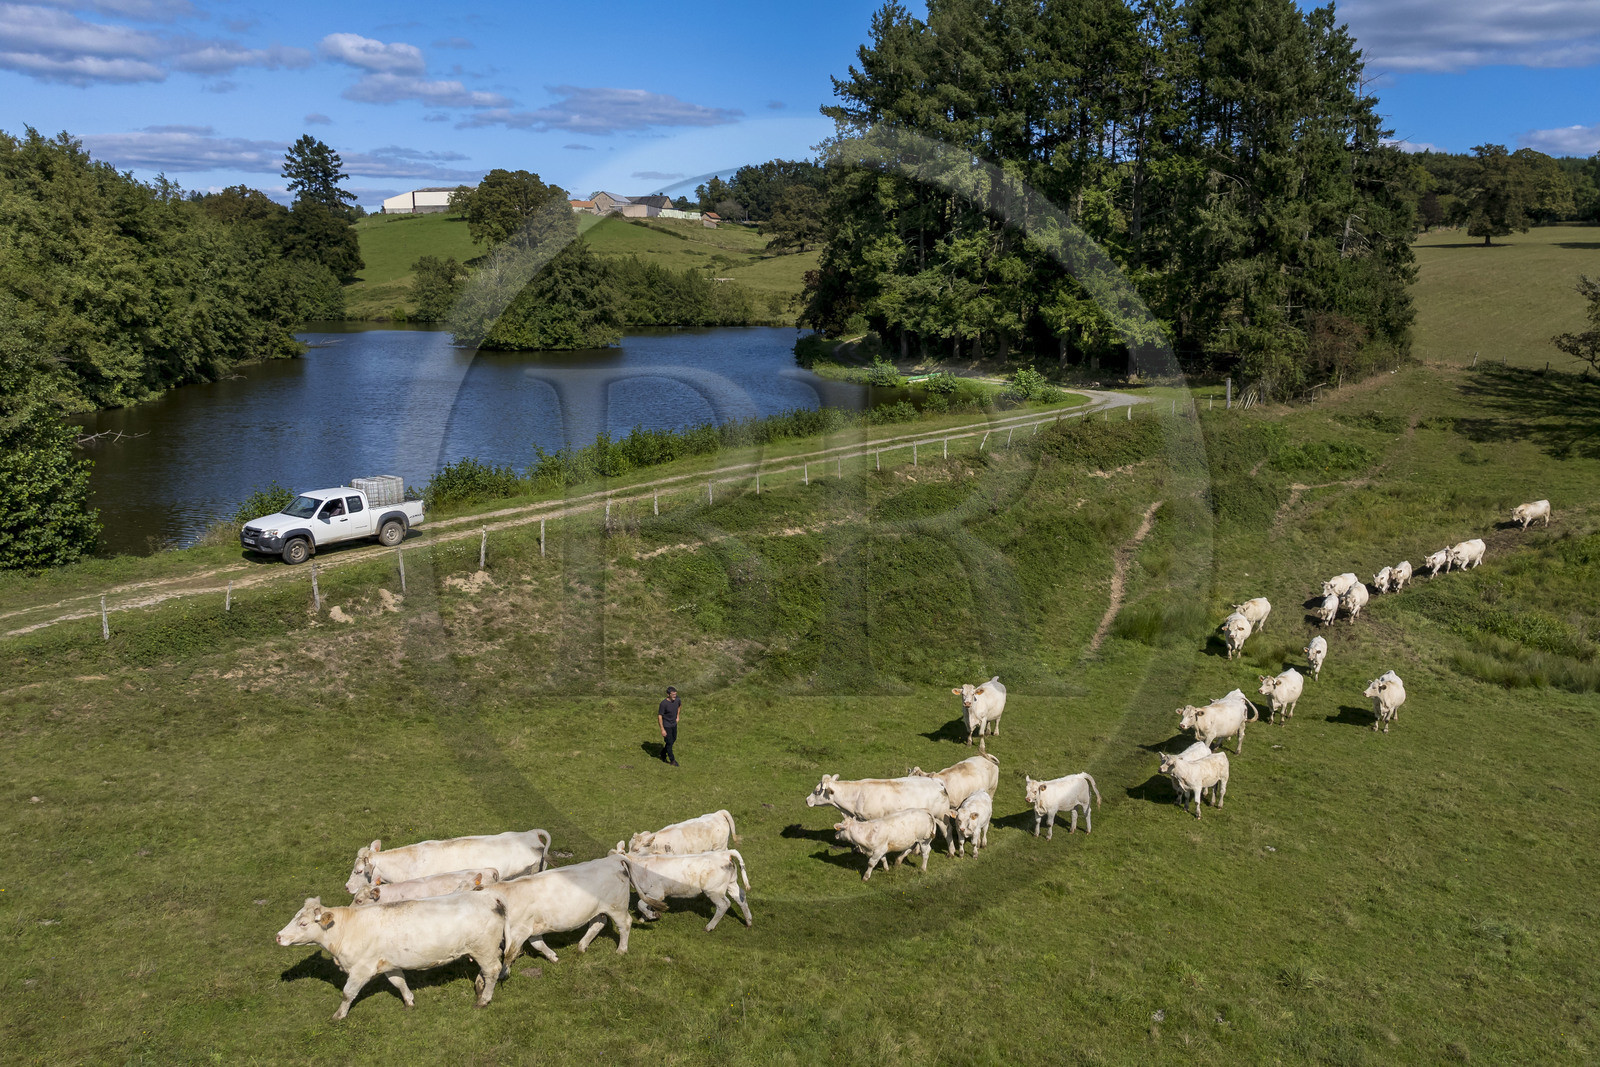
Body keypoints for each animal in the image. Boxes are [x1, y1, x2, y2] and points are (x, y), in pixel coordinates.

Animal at [275, 892, 507, 1020]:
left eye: (303, 923)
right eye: (295, 917)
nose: (278, 936)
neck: (348, 928)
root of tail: (489, 896)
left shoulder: (361, 969)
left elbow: (347, 993)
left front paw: (338, 1016)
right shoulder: (389, 964)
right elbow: (399, 982)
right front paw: (409, 1002)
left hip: (483, 948)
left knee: (493, 970)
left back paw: (483, 1000)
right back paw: (479, 986)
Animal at [485, 856, 633, 972]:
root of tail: (613, 859)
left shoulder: (520, 930)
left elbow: (510, 953)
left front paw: (503, 973)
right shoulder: (533, 927)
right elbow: (538, 944)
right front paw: (553, 957)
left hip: (617, 907)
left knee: (625, 924)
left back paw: (621, 950)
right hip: (597, 909)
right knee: (599, 922)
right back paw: (582, 946)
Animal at [612, 846, 752, 932]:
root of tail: (724, 854)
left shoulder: (657, 892)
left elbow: (641, 903)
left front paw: (652, 916)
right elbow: (648, 904)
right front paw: (644, 918)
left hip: (714, 891)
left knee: (724, 905)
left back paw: (709, 927)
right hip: (731, 884)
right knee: (741, 897)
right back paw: (748, 922)